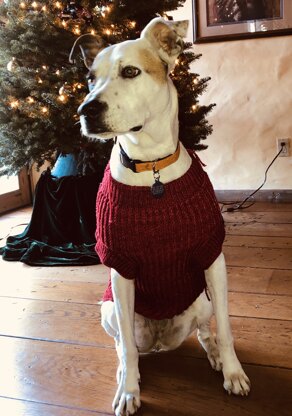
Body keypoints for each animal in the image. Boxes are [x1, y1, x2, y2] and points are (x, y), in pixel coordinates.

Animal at [69, 17, 250, 416]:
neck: (151, 168)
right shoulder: (121, 270)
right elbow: (127, 349)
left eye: (130, 71)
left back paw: (215, 356)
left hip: (201, 299)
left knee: (205, 332)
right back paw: (126, 372)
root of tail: (162, 341)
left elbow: (227, 329)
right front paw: (129, 390)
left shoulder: (213, 257)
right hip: (110, 311)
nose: (86, 110)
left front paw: (233, 372)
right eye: (89, 78)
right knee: (126, 347)